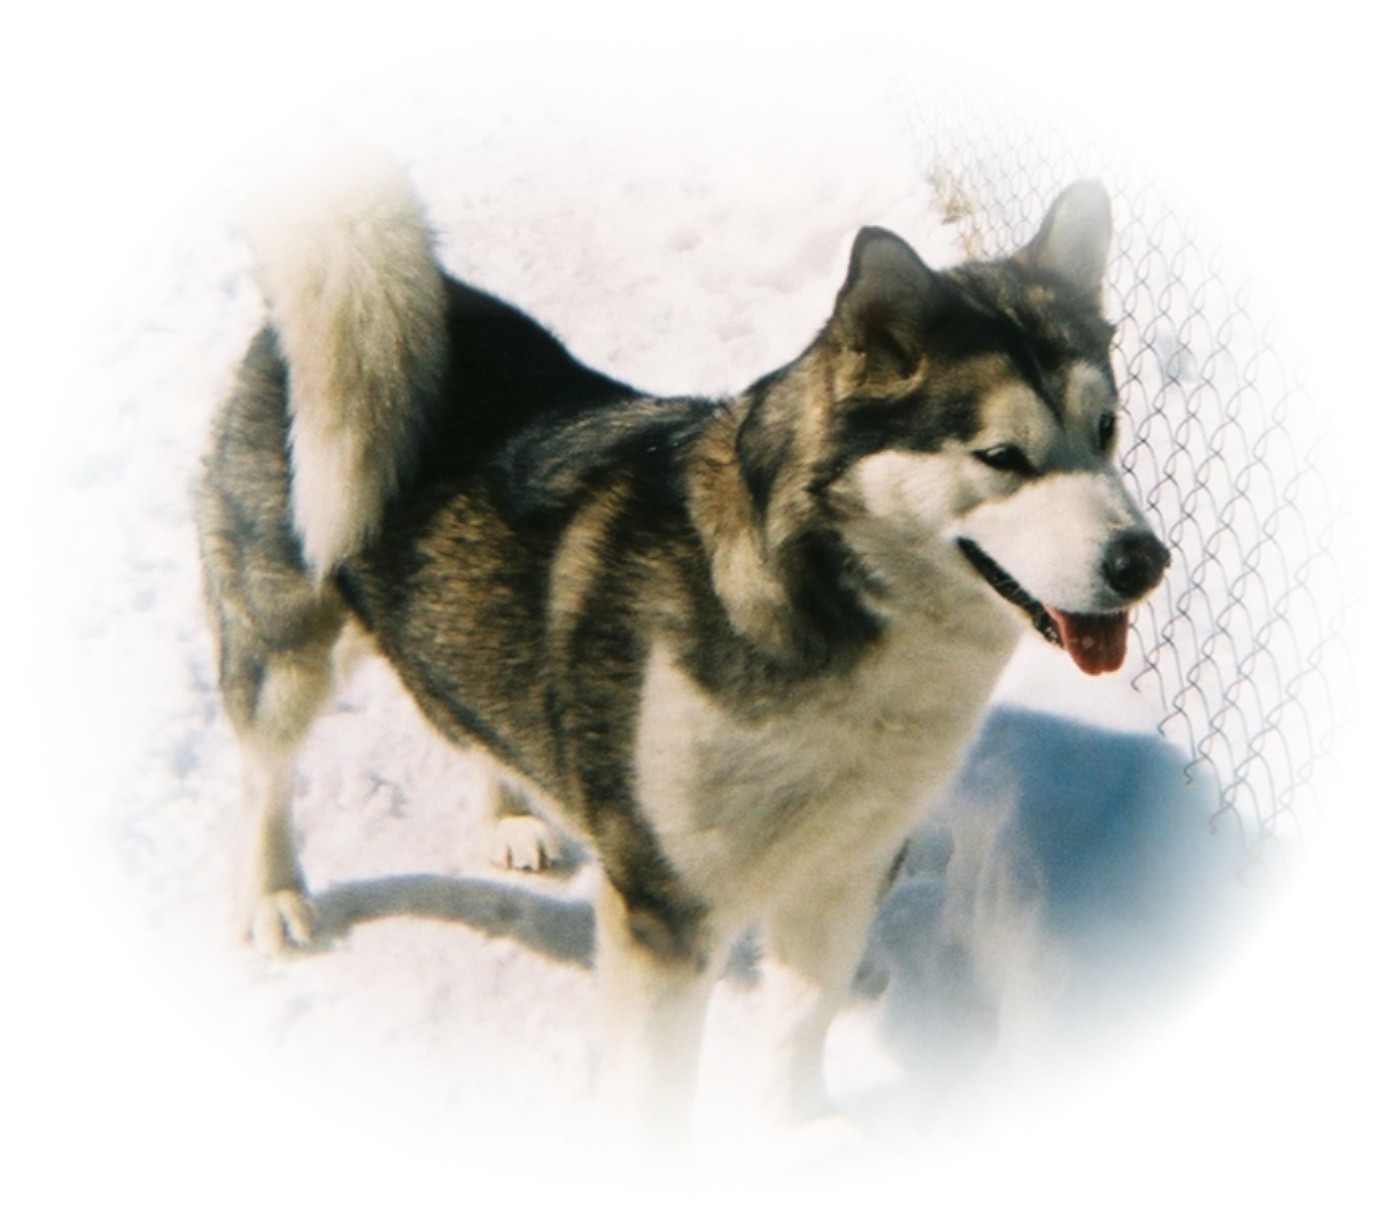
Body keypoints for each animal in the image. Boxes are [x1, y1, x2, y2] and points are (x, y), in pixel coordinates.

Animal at [196, 156, 1169, 1142]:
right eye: (1002, 456)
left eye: (1105, 430)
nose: (1142, 561)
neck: (828, 619)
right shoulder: (665, 910)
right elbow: (657, 1095)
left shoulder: (849, 867)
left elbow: (799, 1022)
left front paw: (798, 1138)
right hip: (285, 651)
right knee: (264, 778)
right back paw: (275, 897)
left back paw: (508, 814)